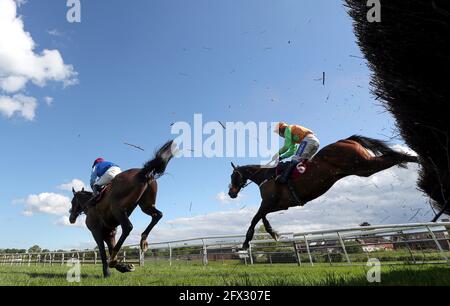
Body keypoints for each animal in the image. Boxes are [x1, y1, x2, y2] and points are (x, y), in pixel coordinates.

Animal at [68, 141, 174, 278]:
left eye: (72, 202)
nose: (71, 218)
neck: (89, 204)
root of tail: (142, 172)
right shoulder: (110, 232)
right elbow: (111, 247)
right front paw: (122, 266)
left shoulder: (96, 231)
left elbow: (103, 251)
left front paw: (108, 271)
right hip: (146, 205)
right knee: (157, 215)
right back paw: (143, 241)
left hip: (118, 210)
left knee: (128, 227)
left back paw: (113, 258)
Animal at [229, 135, 418, 250]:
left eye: (232, 176)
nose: (231, 193)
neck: (265, 176)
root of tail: (347, 140)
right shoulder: (279, 205)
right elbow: (262, 217)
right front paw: (272, 232)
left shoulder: (269, 202)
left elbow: (254, 218)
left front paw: (245, 243)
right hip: (363, 168)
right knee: (391, 157)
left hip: (364, 165)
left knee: (393, 157)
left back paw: (416, 157)